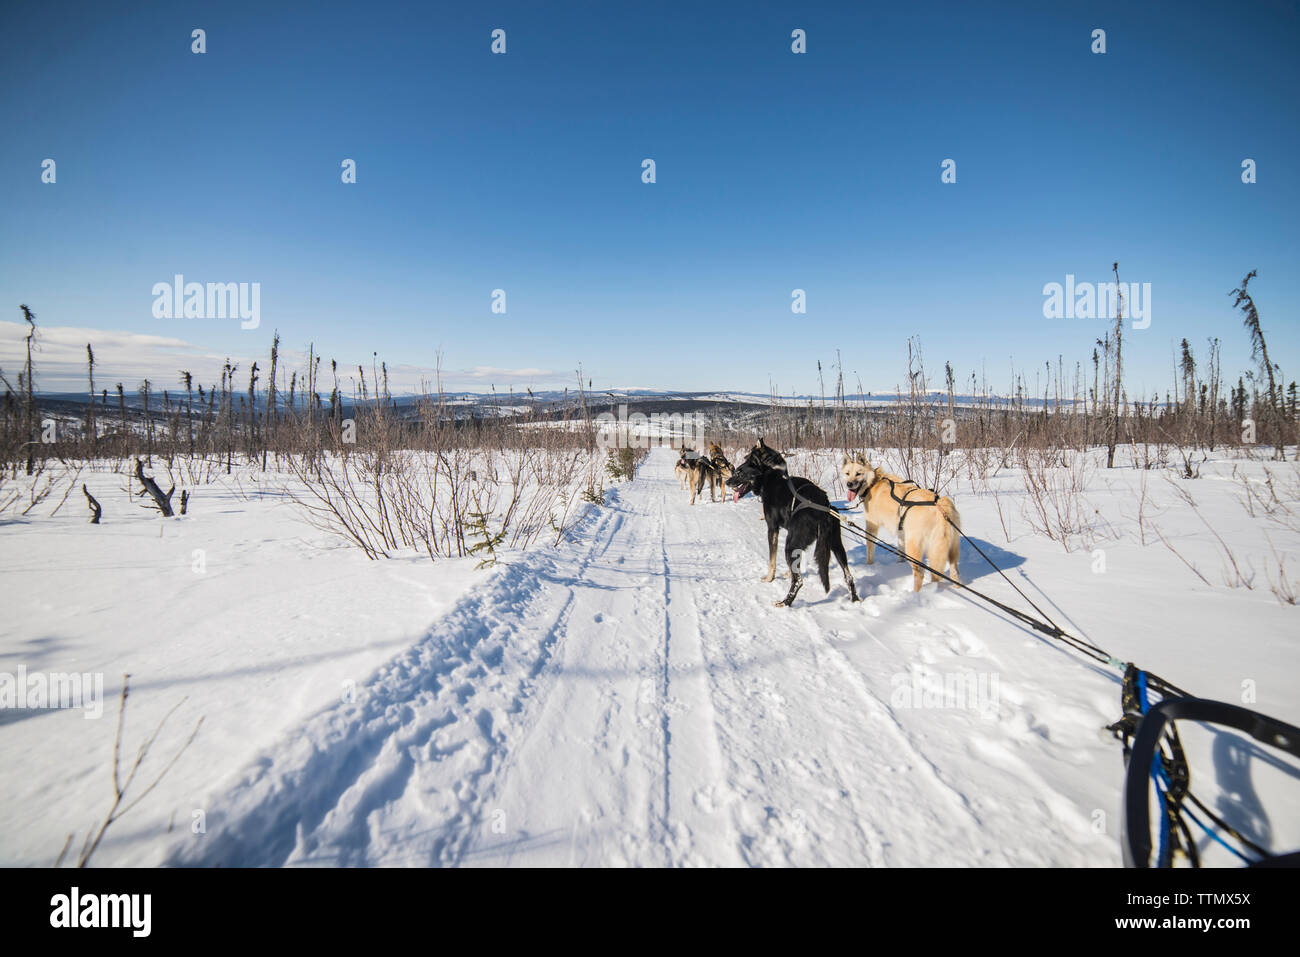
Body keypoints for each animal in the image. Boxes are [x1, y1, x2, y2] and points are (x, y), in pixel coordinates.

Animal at [728, 439, 857, 605]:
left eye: (739, 472)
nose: (726, 481)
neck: (770, 477)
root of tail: (823, 507)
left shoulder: (772, 529)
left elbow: (772, 560)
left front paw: (769, 578)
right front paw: (787, 572)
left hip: (790, 545)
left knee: (799, 581)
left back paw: (785, 602)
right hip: (836, 545)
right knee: (848, 576)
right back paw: (856, 599)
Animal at [837, 455, 961, 590]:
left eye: (858, 473)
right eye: (847, 473)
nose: (849, 484)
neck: (874, 483)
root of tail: (940, 507)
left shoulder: (871, 526)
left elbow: (870, 549)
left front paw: (869, 565)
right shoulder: (901, 531)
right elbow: (900, 551)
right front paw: (899, 564)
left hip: (914, 547)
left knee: (920, 574)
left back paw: (916, 593)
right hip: (950, 549)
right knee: (954, 572)